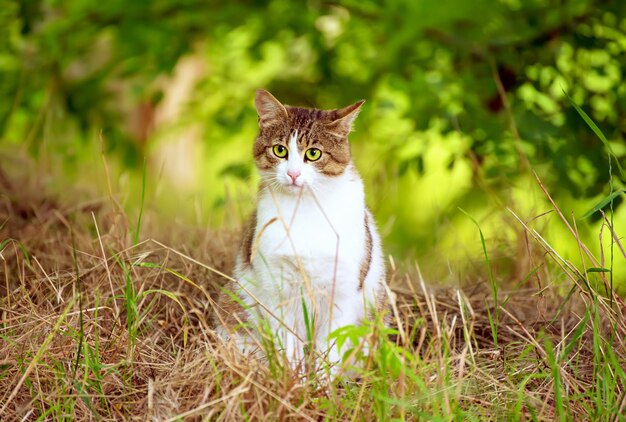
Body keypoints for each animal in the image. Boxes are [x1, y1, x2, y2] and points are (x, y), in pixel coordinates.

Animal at [213, 90, 390, 372]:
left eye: (314, 153)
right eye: (280, 150)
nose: (293, 174)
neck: (305, 208)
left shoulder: (341, 292)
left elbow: (329, 350)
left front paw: (321, 381)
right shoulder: (278, 289)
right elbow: (288, 345)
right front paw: (291, 377)